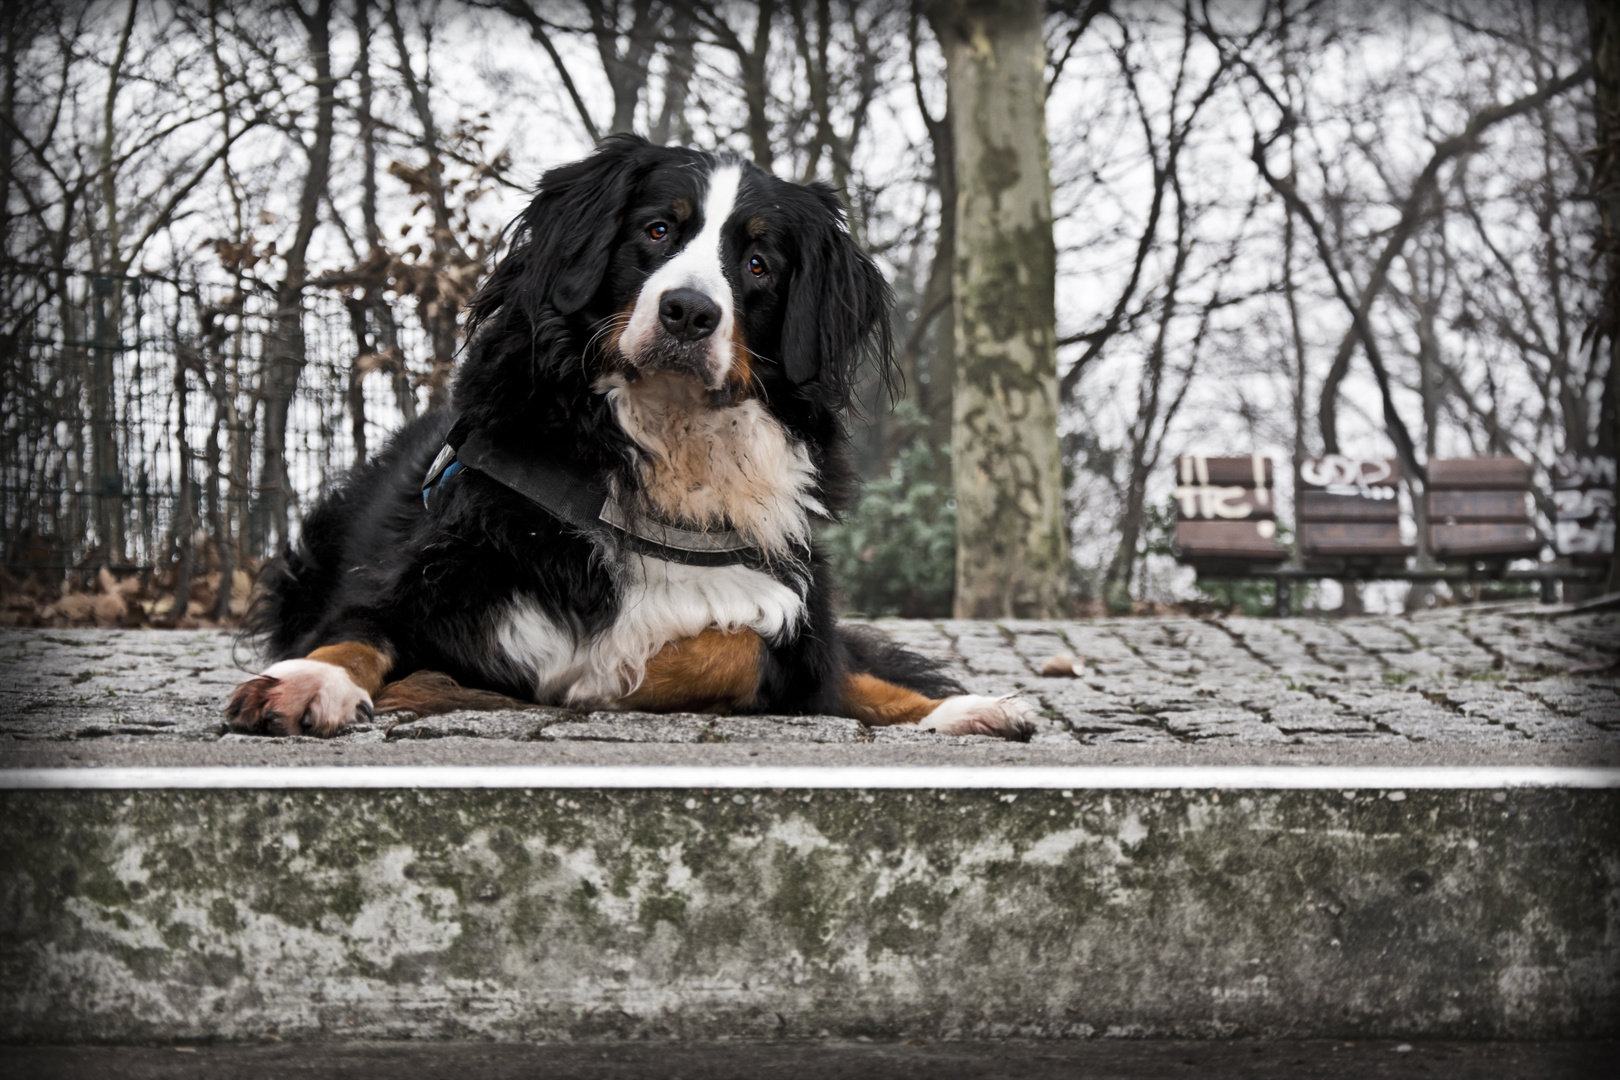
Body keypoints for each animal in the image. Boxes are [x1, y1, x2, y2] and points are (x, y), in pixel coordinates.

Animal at [225, 135, 1036, 744]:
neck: (667, 439)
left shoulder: (786, 602)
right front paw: (309, 683)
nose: (688, 312)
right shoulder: (430, 568)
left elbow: (749, 652)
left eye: (758, 264)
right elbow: (358, 629)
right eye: (657, 230)